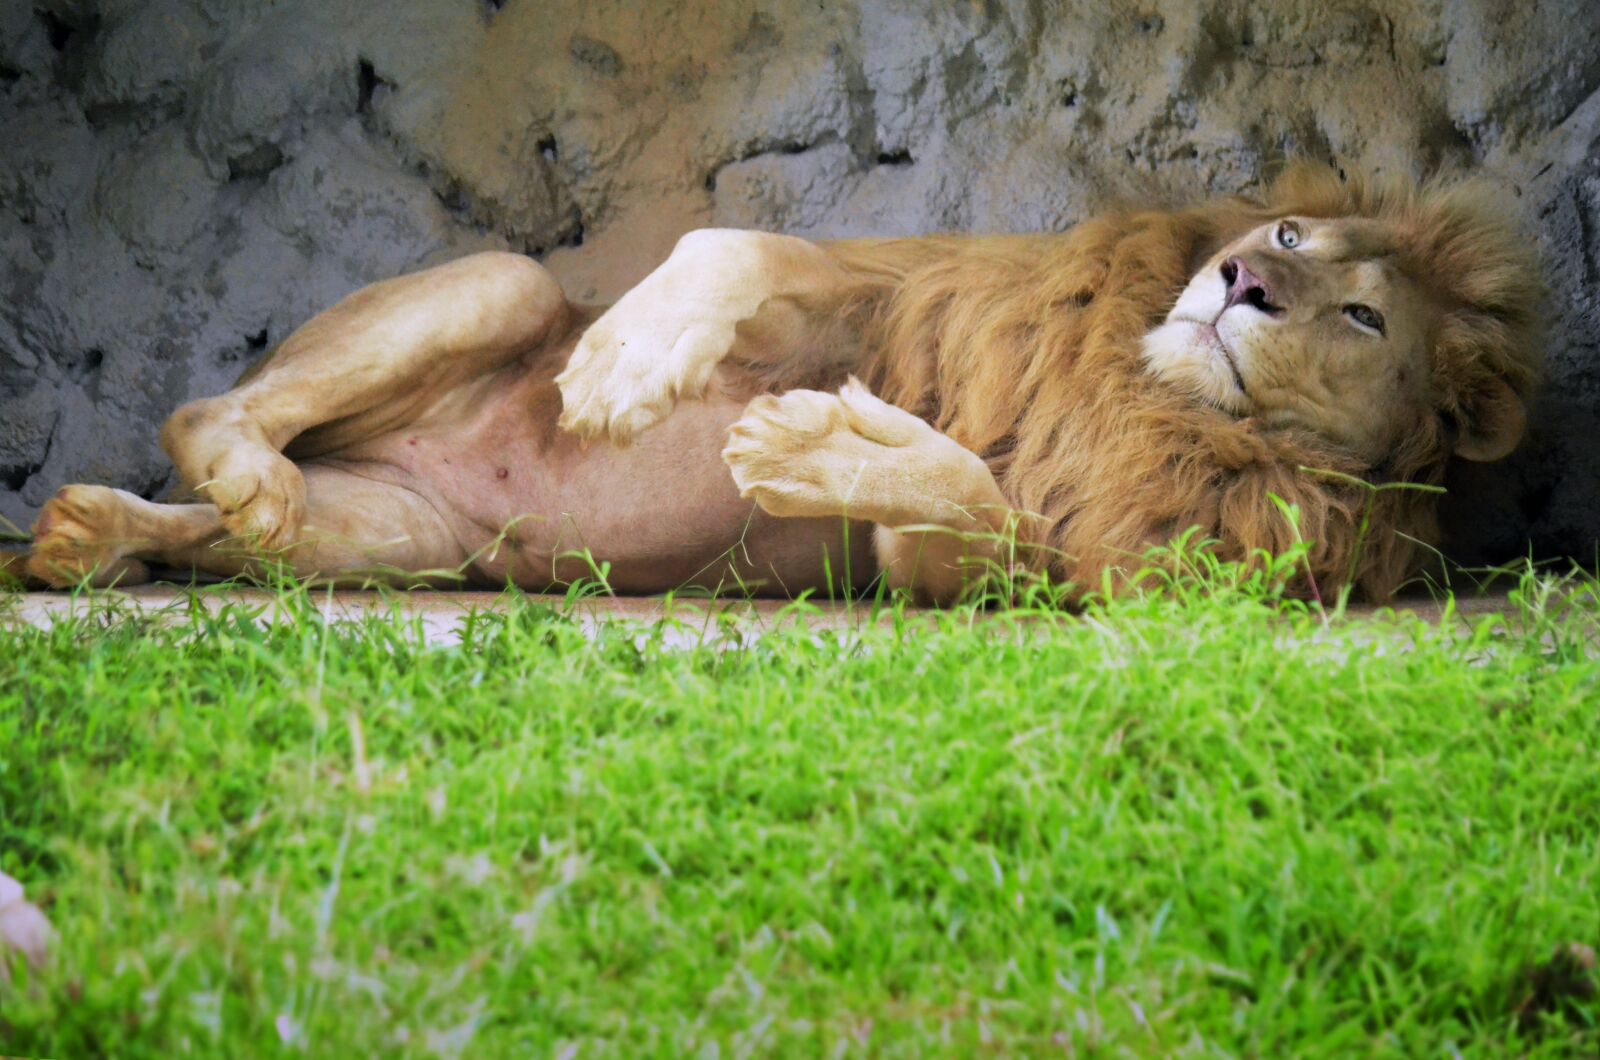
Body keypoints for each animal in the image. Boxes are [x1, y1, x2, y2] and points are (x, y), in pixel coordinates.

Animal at [13, 162, 1540, 604]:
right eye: (1281, 235)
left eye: (1360, 313)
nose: (1237, 282)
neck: (1151, 393)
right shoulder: (888, 290)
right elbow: (739, 246)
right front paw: (628, 364)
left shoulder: (1046, 560)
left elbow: (977, 500)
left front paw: (812, 450)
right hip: (506, 280)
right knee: (205, 415)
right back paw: (166, 498)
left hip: (410, 543)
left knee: (257, 515)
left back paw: (117, 531)